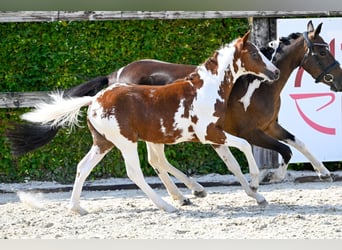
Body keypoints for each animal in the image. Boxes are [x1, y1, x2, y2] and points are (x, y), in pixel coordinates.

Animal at [19, 30, 280, 213]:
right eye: (255, 54)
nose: (275, 72)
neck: (205, 89)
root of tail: (94, 100)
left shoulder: (215, 136)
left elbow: (233, 164)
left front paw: (257, 197)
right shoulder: (209, 134)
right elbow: (245, 146)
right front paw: (255, 183)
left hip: (103, 143)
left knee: (83, 167)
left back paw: (77, 208)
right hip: (126, 142)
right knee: (136, 172)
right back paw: (168, 205)